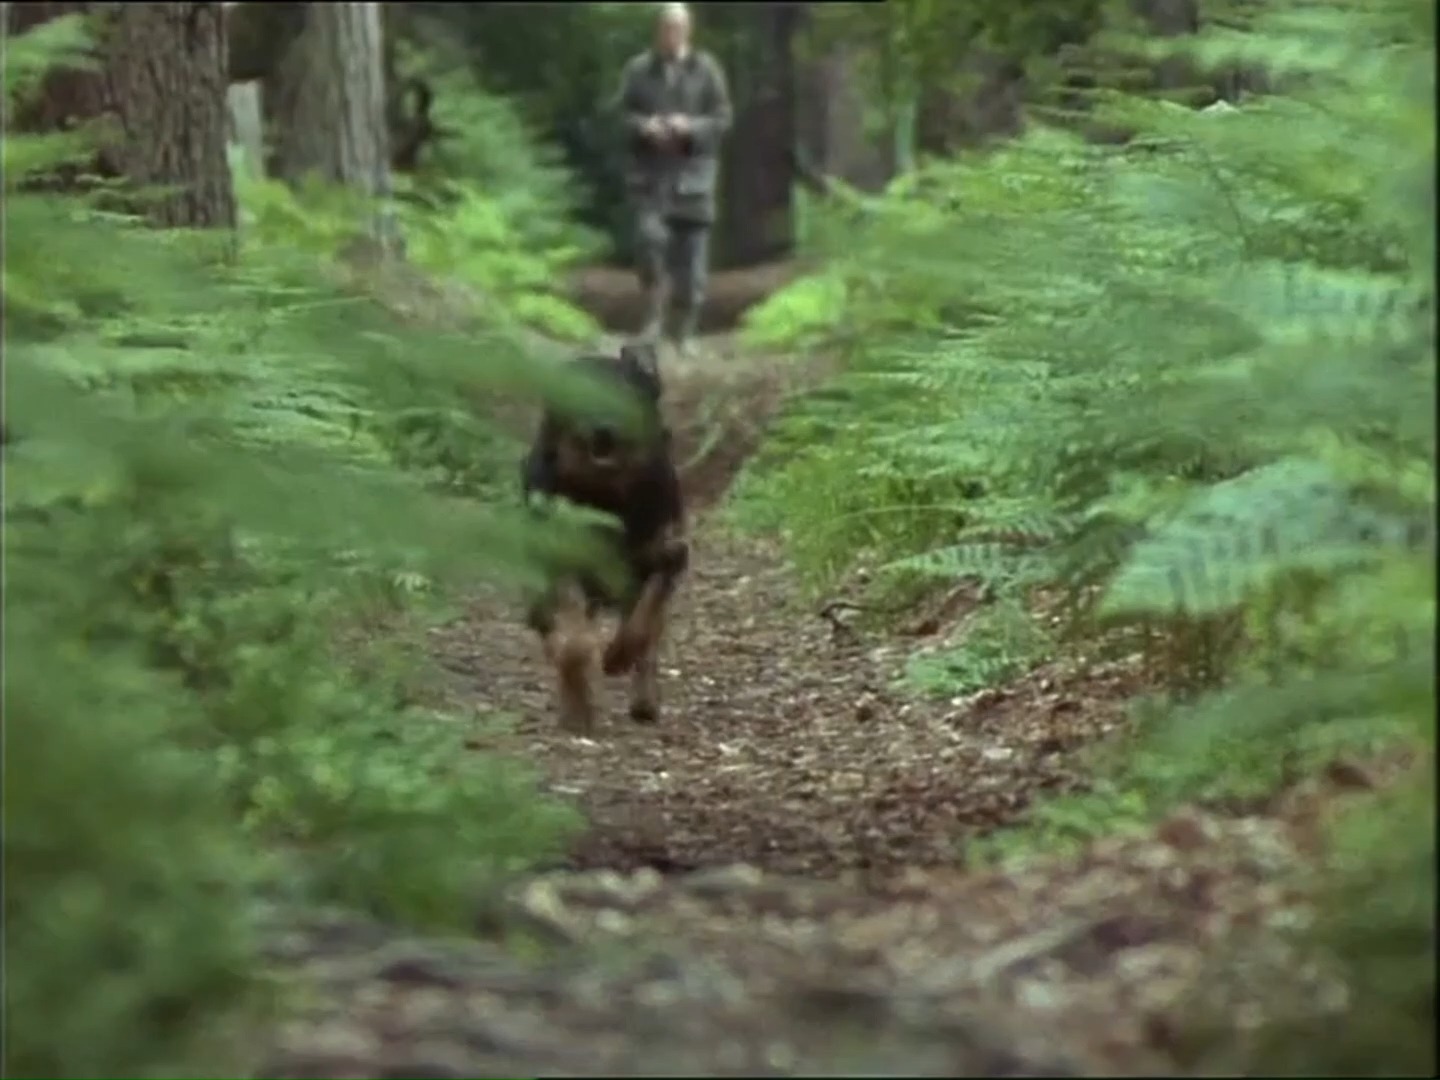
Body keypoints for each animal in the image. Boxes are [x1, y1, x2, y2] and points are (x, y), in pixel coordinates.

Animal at [521, 344, 688, 737]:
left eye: (623, 393)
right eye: (576, 394)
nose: (604, 429)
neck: (605, 495)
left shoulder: (666, 554)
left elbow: (643, 626)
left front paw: (618, 658)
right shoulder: (562, 561)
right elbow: (573, 643)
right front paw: (576, 711)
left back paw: (644, 700)